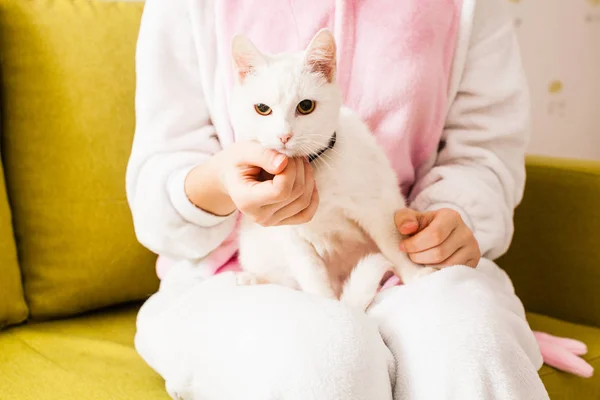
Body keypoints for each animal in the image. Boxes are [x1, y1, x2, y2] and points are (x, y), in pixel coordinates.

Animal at [231, 28, 436, 310]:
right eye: (262, 109)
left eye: (305, 106)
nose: (284, 136)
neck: (314, 170)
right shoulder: (291, 237)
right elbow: (313, 277)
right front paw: (331, 310)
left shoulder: (378, 208)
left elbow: (394, 244)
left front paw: (414, 273)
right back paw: (253, 278)